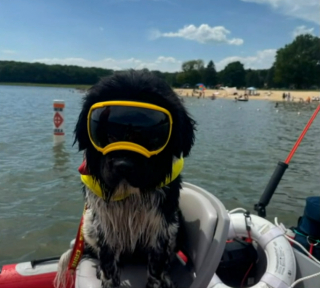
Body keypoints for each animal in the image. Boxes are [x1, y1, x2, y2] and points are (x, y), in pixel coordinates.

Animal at [54, 70, 195, 288]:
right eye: (106, 130)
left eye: (151, 133)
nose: (123, 164)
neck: (129, 194)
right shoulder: (105, 227)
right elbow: (108, 265)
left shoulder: (161, 227)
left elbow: (156, 267)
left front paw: (159, 280)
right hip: (88, 224)